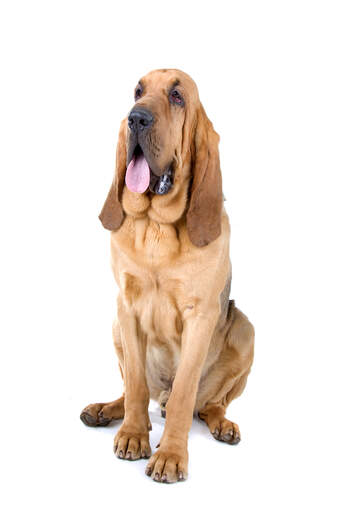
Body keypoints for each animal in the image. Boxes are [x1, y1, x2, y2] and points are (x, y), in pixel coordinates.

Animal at [81, 69, 254, 484]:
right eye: (137, 91)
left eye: (177, 96)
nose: (136, 118)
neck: (157, 228)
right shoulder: (125, 308)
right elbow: (135, 385)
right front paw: (132, 435)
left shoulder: (201, 316)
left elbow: (183, 395)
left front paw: (171, 456)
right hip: (115, 327)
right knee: (137, 393)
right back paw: (106, 410)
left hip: (246, 329)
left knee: (207, 405)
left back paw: (223, 425)